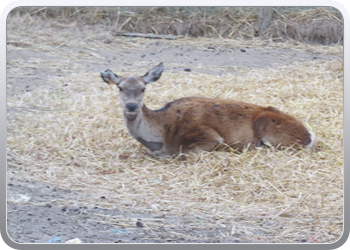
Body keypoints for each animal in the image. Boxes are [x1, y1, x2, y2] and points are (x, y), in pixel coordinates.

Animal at [100, 62, 316, 156]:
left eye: (143, 88)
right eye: (120, 87)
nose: (131, 105)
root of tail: (309, 136)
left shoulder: (207, 136)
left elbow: (184, 153)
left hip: (271, 131)